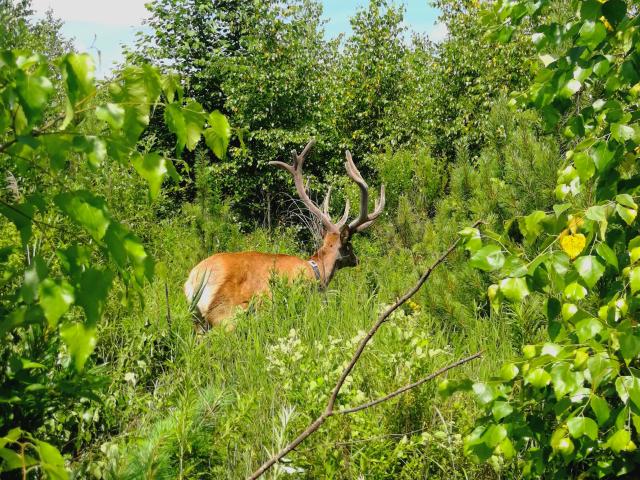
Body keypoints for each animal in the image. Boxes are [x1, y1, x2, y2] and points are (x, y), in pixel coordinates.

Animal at [184, 139, 385, 329]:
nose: (357, 259)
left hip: (196, 320)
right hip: (226, 314)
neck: (317, 272)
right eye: (350, 245)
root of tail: (195, 280)